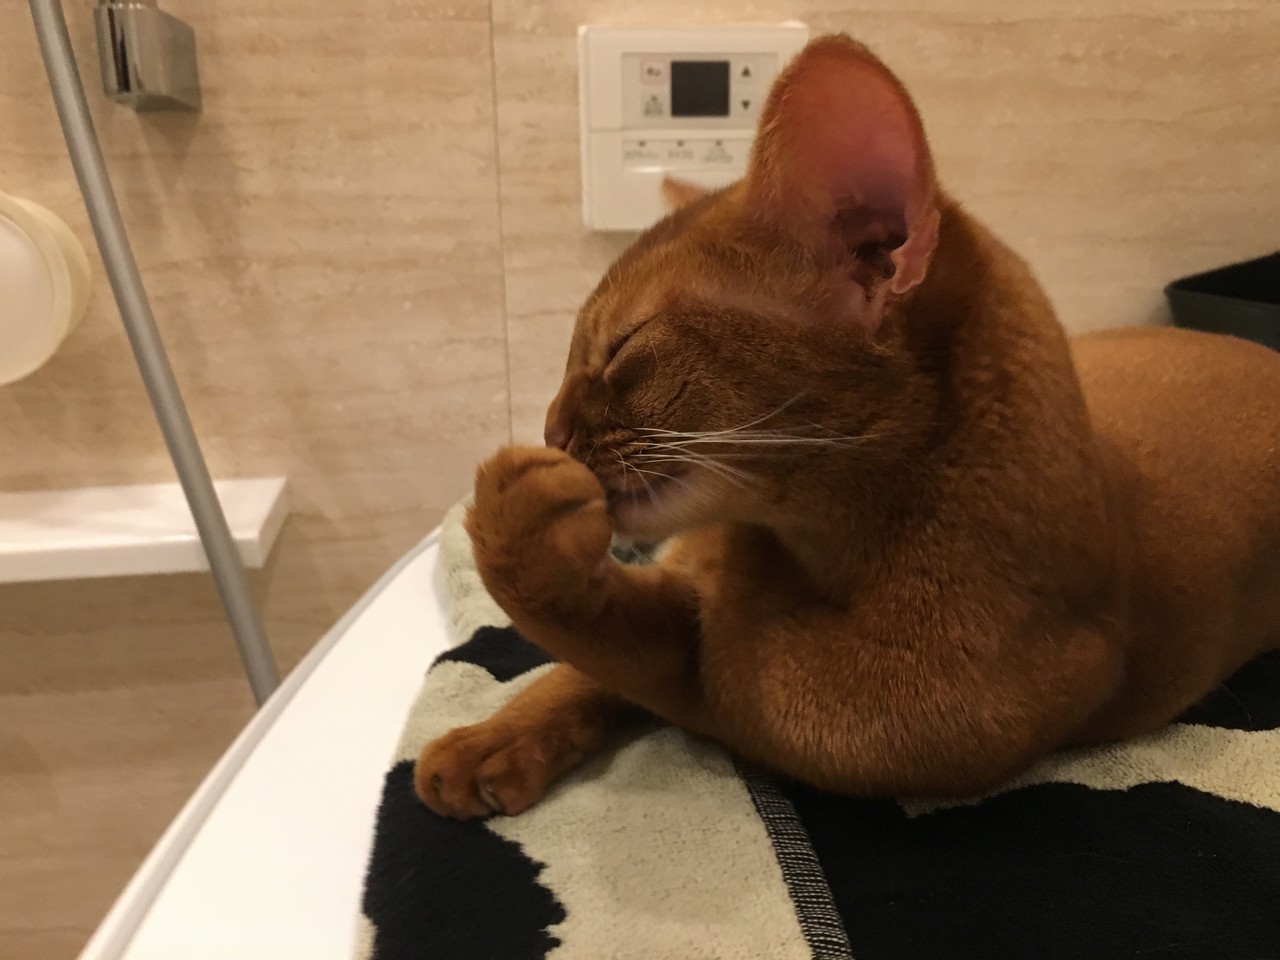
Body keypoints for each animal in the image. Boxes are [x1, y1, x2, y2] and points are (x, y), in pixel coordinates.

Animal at [415, 34, 1280, 819]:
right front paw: (487, 744)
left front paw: (521, 525)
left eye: (622, 346)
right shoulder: (689, 586)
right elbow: (578, 672)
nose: (551, 433)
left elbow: (611, 642)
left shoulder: (754, 701)